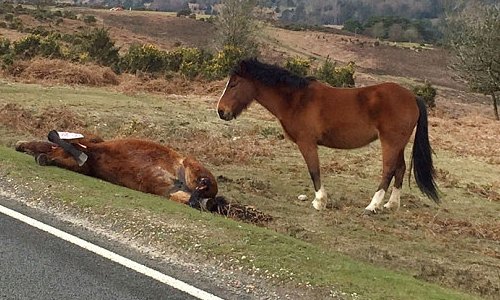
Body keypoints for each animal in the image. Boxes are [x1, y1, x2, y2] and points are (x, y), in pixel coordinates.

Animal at [15, 130, 221, 210]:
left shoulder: (85, 144)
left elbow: (53, 138)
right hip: (173, 192)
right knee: (197, 200)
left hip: (190, 165)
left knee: (205, 188)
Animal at [215, 58, 438, 213]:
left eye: (234, 84)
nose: (221, 111)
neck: (297, 99)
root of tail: (412, 97)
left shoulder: (307, 143)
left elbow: (314, 170)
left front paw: (319, 201)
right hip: (398, 144)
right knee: (400, 169)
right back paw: (391, 205)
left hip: (390, 142)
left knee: (389, 169)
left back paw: (372, 206)